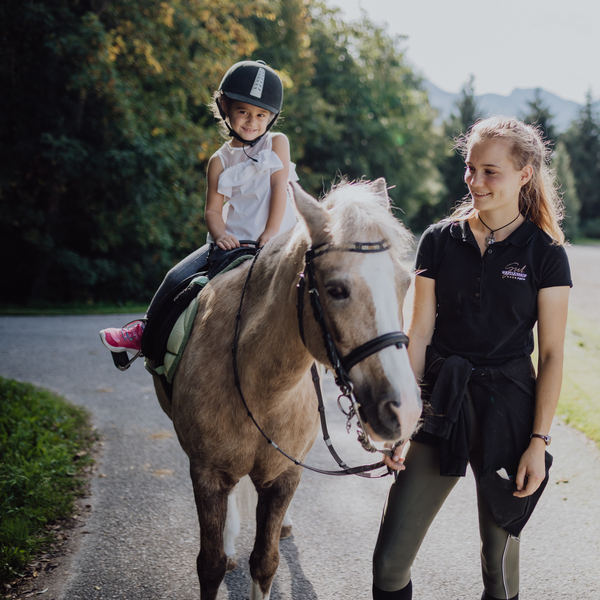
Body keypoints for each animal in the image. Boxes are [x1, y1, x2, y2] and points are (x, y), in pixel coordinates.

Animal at [150, 179, 422, 600]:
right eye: (336, 289)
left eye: (405, 283)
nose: (405, 410)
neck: (261, 386)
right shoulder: (206, 473)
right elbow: (210, 565)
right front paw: (223, 549)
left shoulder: (284, 476)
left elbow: (265, 562)